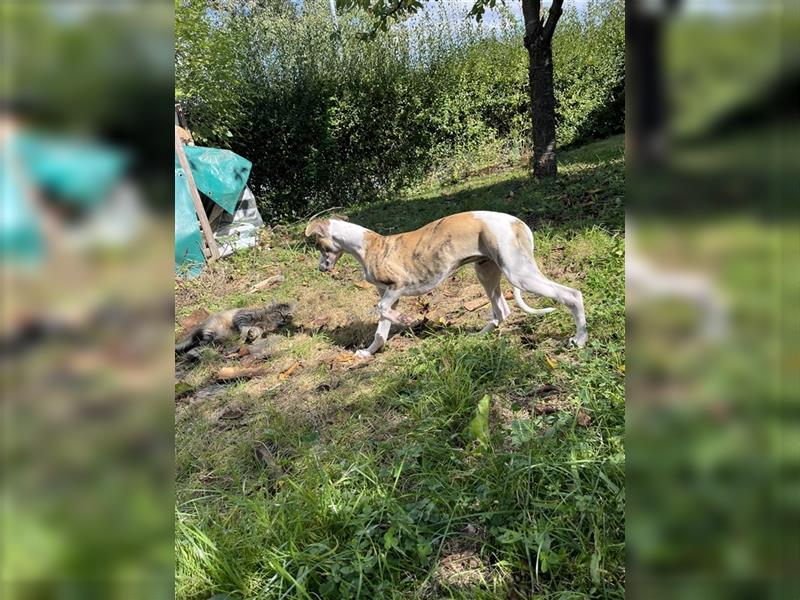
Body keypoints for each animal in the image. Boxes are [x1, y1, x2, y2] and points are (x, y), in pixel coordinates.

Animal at [306, 211, 588, 356]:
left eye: (317, 244)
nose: (320, 268)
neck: (368, 245)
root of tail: (517, 222)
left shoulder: (397, 287)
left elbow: (381, 308)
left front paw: (406, 319)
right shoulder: (388, 293)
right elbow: (381, 327)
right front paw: (368, 351)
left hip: (519, 274)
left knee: (572, 295)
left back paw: (580, 339)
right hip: (486, 271)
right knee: (502, 310)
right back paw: (477, 337)